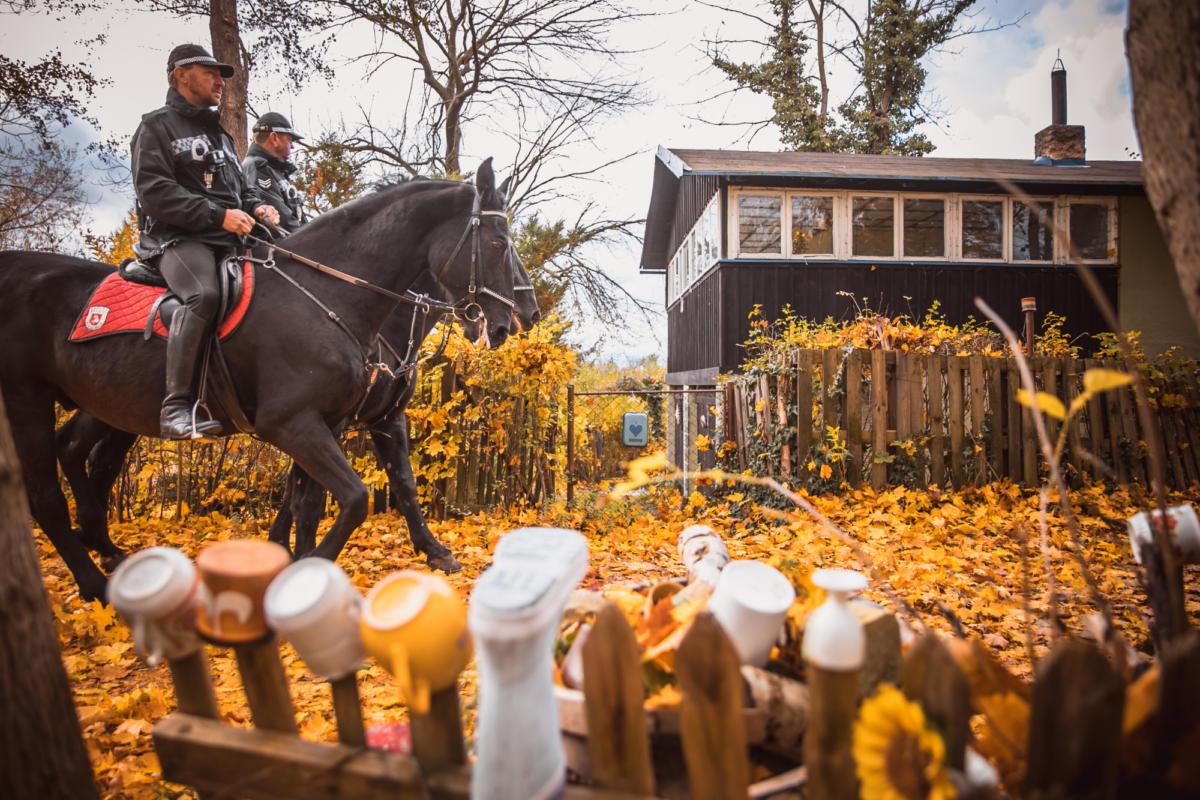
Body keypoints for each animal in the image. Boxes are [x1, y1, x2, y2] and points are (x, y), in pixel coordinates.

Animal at [0, 160, 516, 599]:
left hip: (106, 407)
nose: (513, 320)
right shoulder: (293, 423)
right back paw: (95, 580)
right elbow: (353, 498)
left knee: (84, 459)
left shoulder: (347, 421)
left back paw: (104, 549)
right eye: (497, 243)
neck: (327, 296)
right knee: (48, 493)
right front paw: (306, 568)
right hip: (28, 400)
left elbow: (325, 498)